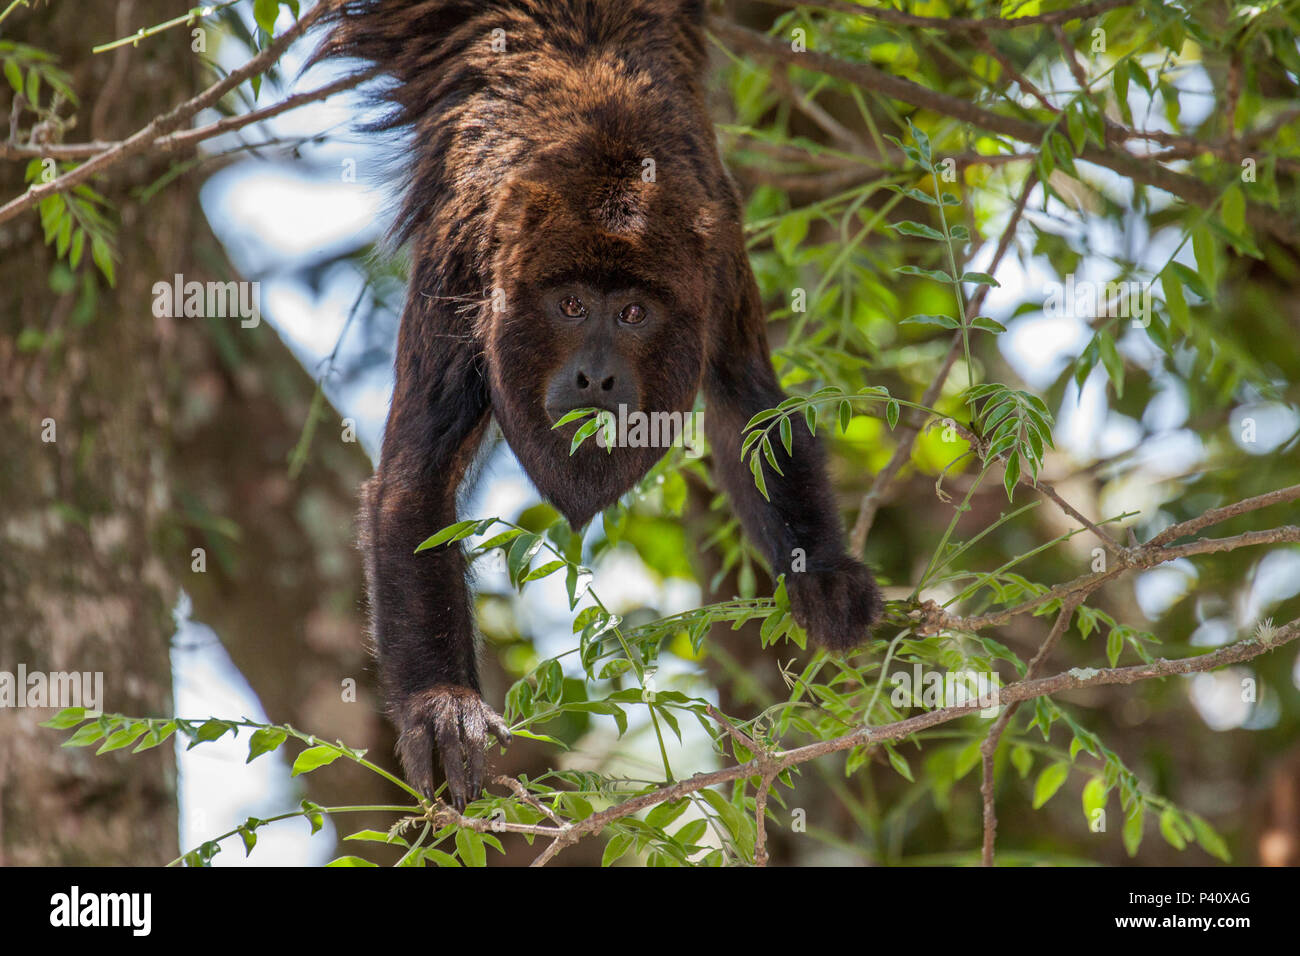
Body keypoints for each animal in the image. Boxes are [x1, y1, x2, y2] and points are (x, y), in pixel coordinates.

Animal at [315, 0, 883, 816]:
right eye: (572, 305)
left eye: (635, 314)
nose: (594, 377)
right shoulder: (465, 259)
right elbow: (414, 480)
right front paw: (442, 705)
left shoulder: (715, 257)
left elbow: (748, 403)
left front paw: (822, 571)